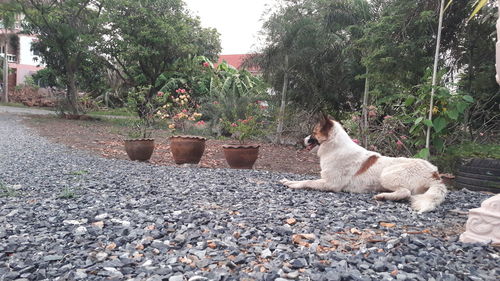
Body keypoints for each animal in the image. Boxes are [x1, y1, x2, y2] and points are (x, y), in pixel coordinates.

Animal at [280, 112, 448, 211]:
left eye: (313, 133)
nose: (302, 140)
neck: (334, 147)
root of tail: (434, 173)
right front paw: (288, 180)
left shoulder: (331, 184)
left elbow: (307, 181)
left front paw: (292, 184)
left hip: (387, 174)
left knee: (405, 192)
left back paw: (383, 196)